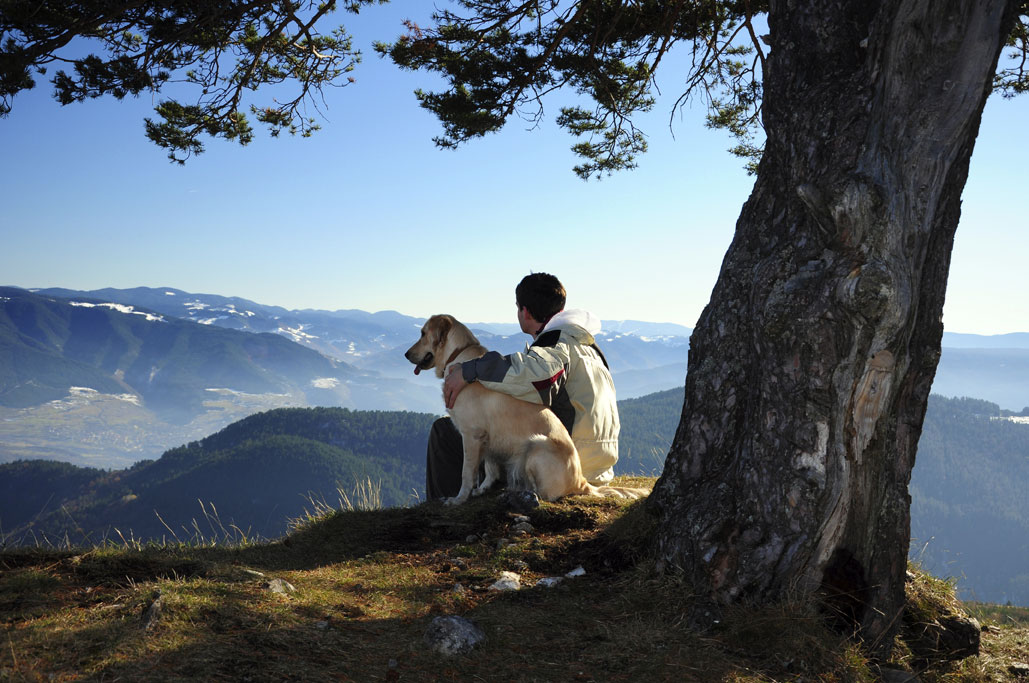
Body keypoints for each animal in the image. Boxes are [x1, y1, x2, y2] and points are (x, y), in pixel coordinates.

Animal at [407, 312, 642, 501]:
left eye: (422, 333)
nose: (406, 355)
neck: (457, 355)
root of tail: (582, 481)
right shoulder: (488, 437)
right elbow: (490, 468)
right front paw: (482, 489)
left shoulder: (472, 435)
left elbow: (466, 473)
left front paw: (459, 499)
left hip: (536, 445)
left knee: (548, 494)